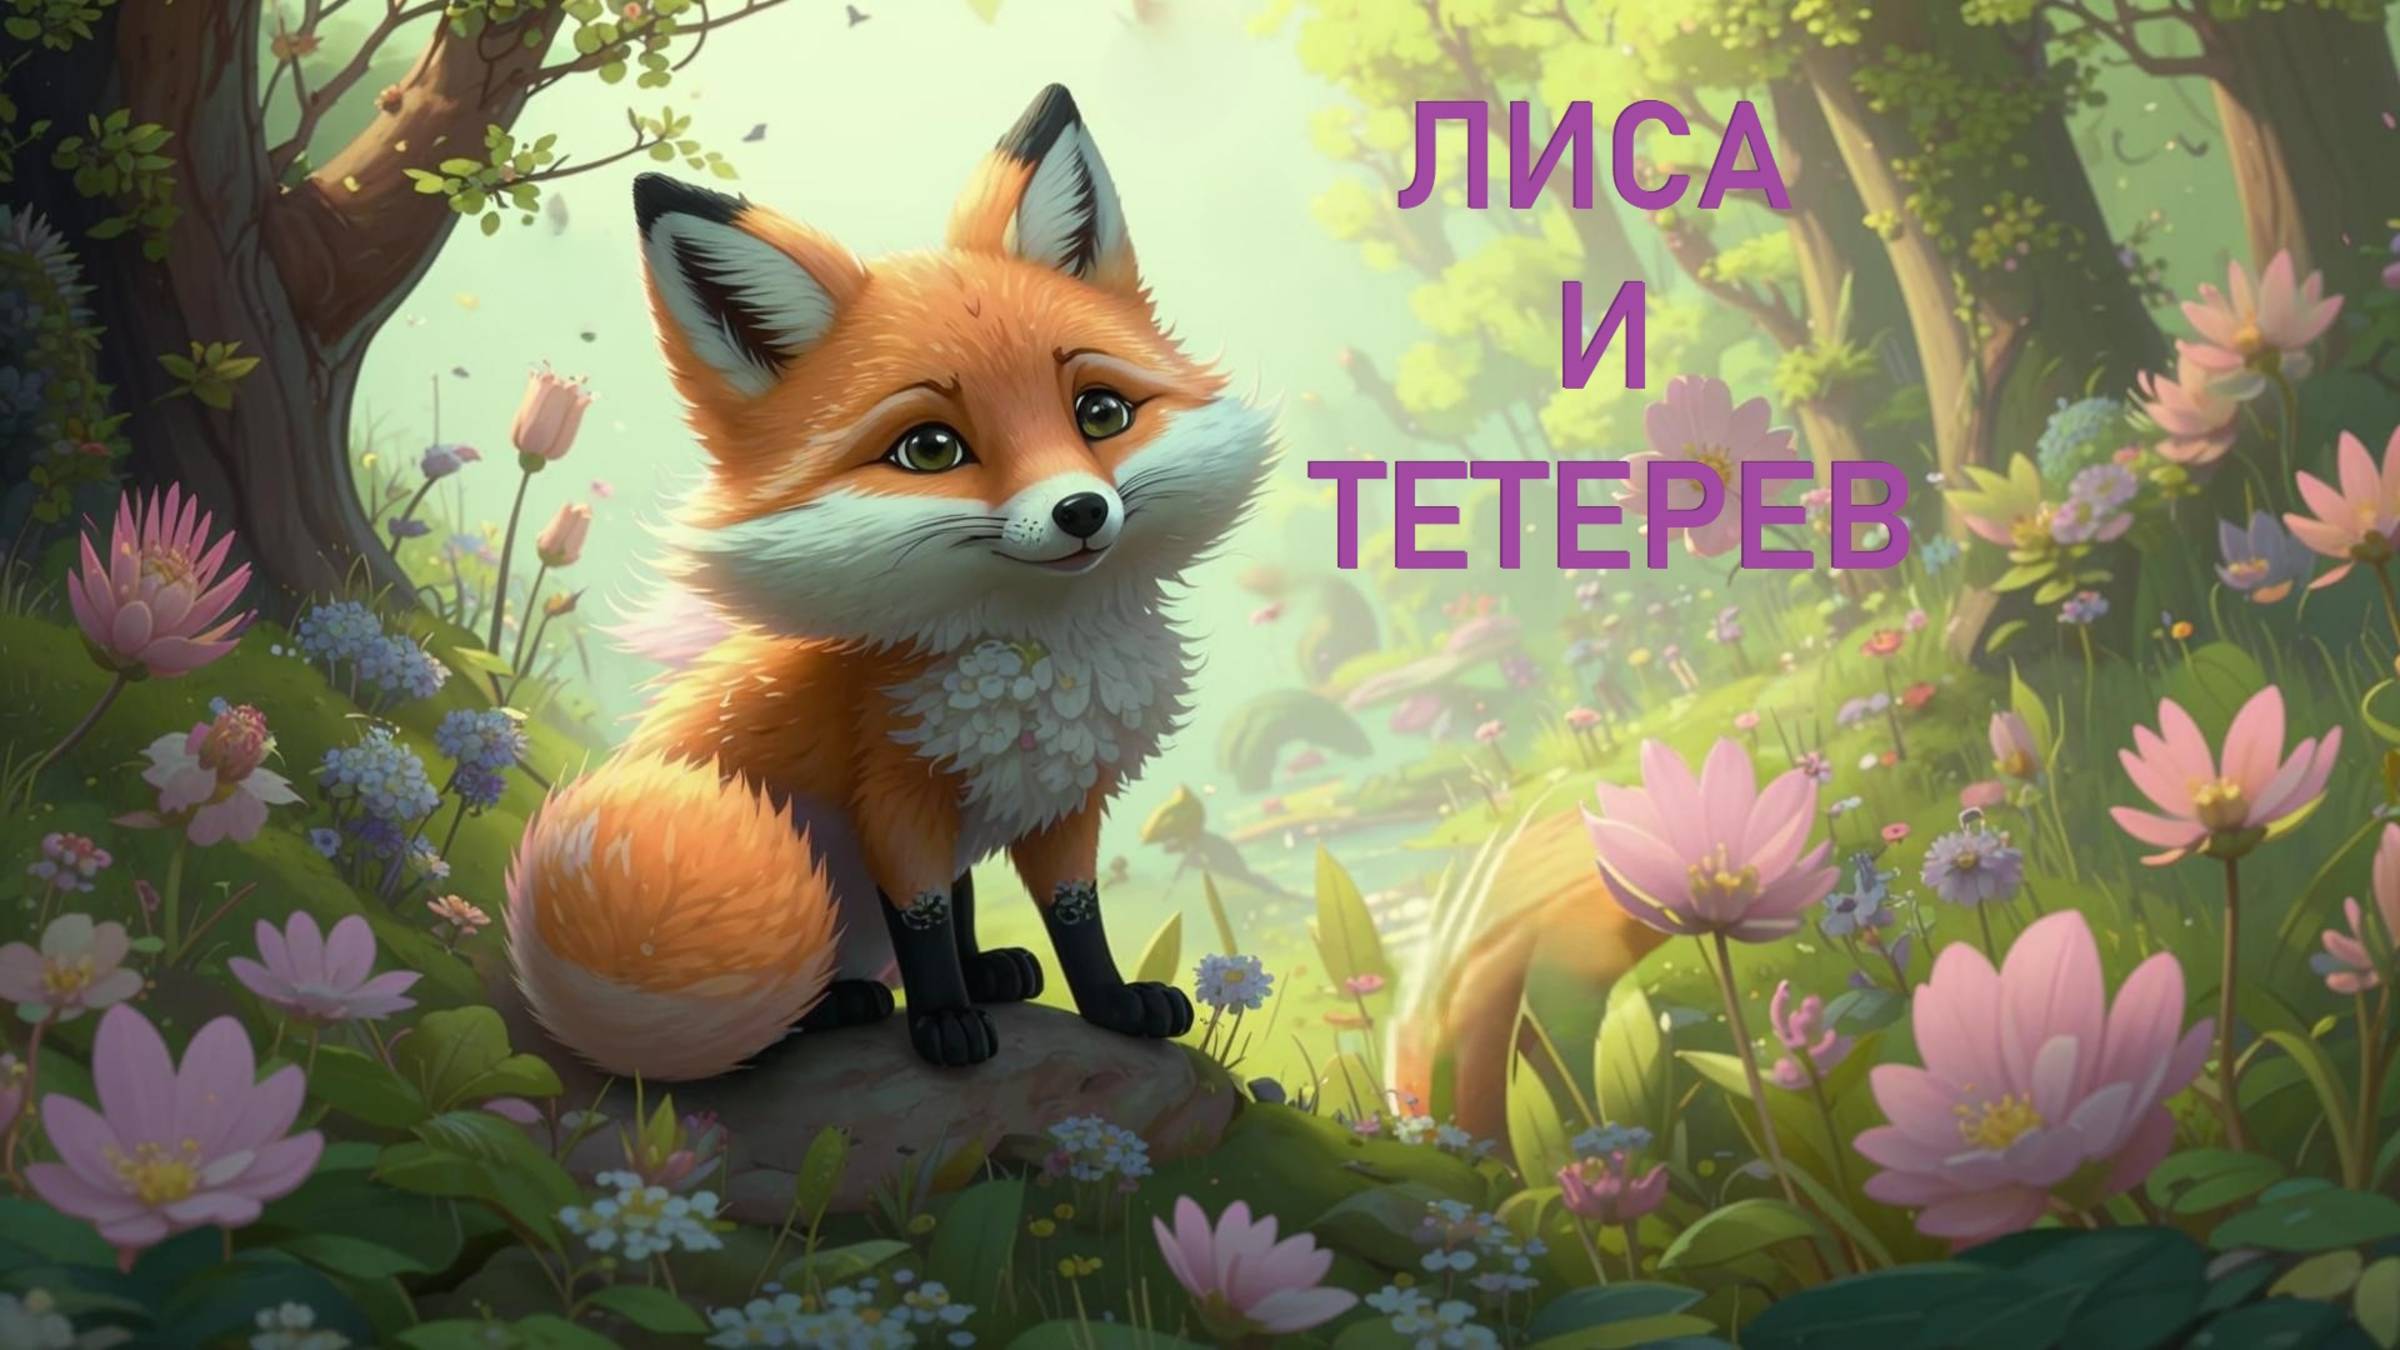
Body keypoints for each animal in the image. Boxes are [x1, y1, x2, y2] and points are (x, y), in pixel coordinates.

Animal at [504, 86, 1273, 1079]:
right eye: (930, 449)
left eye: (1100, 412)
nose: (1081, 512)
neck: (1034, 657)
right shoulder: (893, 794)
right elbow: (925, 918)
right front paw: (945, 1021)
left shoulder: (1057, 798)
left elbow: (1070, 918)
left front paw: (1108, 1005)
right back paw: (837, 1005)